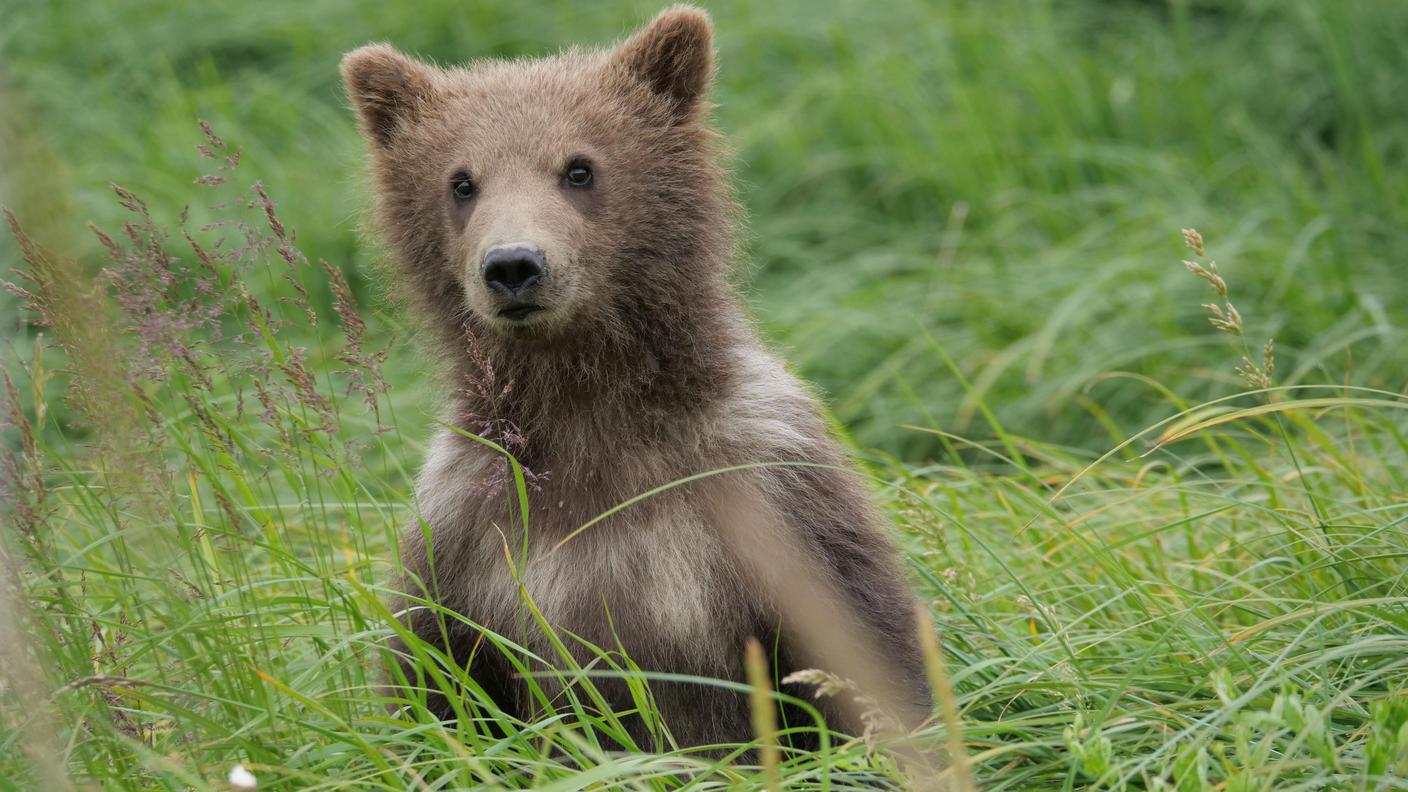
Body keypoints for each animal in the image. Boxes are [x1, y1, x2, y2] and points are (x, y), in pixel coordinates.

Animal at [342, 5, 931, 750]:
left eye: (579, 168)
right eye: (462, 181)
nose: (513, 266)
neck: (587, 407)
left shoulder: (770, 494)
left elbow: (860, 651)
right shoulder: (464, 535)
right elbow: (436, 687)